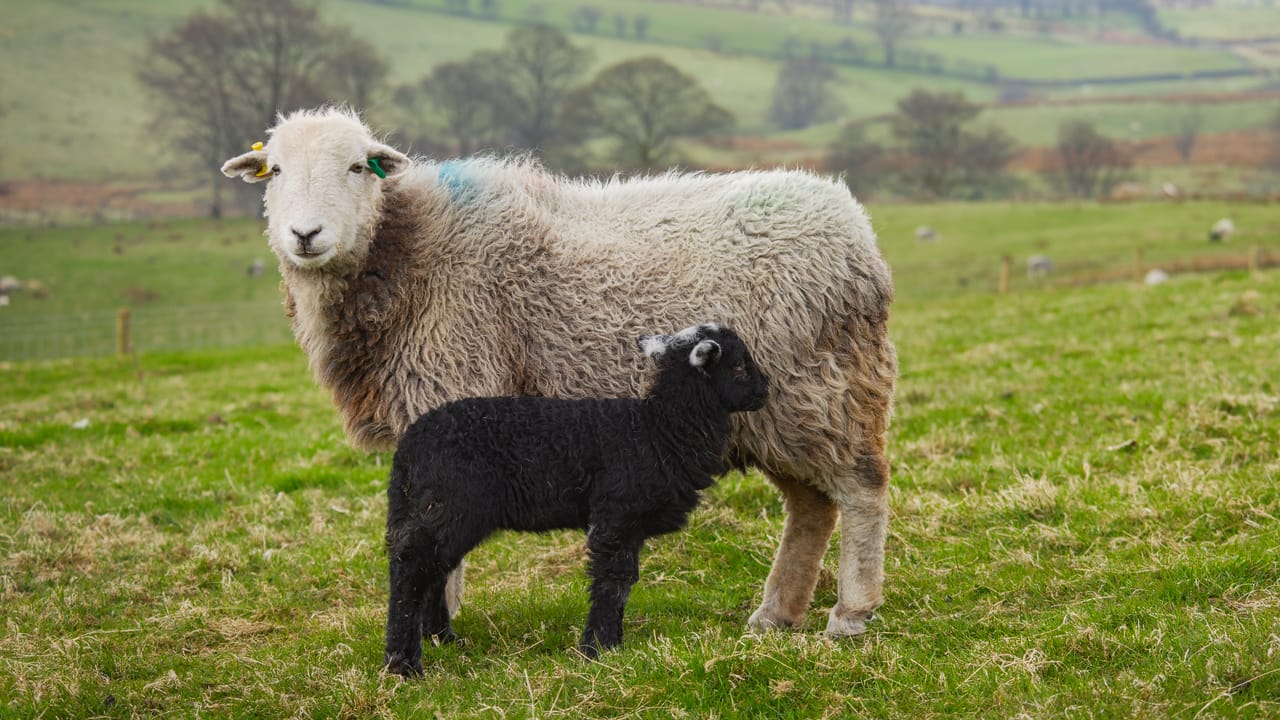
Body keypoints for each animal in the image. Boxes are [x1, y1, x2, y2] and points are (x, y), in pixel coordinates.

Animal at [222, 105, 901, 632]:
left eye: (358, 166)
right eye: (274, 171)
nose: (305, 234)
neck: (407, 253)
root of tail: (851, 220)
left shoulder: (454, 387)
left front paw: (432, 624)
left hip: (825, 388)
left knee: (861, 487)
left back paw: (851, 613)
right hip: (772, 412)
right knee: (812, 506)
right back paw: (776, 616)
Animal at [381, 322, 768, 676]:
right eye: (738, 365)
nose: (765, 390)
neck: (659, 428)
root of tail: (408, 447)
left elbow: (623, 579)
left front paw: (610, 644)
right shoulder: (616, 514)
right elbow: (614, 580)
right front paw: (598, 647)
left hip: (437, 510)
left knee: (433, 569)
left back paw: (443, 639)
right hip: (451, 504)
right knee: (411, 566)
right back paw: (403, 663)